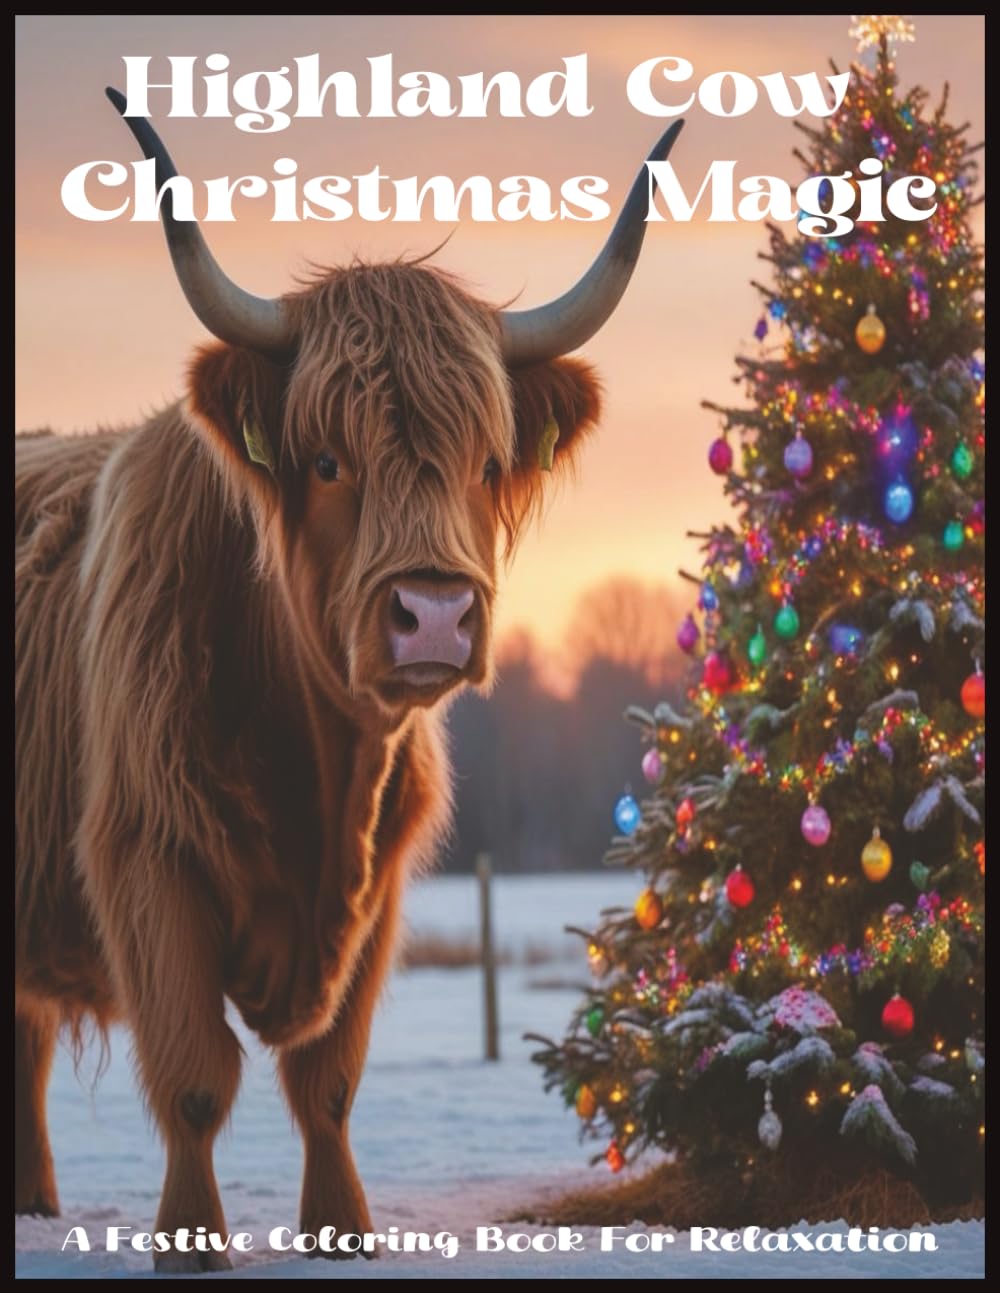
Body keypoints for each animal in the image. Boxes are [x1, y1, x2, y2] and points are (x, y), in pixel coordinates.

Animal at [14, 88, 682, 1272]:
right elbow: (197, 1081)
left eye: (487, 463)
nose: (435, 614)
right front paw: (192, 1243)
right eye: (327, 462)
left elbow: (327, 1081)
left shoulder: (381, 888)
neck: (318, 767)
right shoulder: (148, 859)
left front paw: (344, 1234)